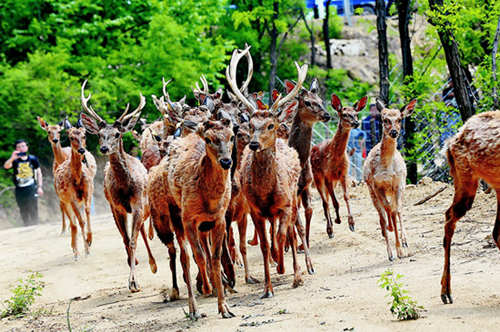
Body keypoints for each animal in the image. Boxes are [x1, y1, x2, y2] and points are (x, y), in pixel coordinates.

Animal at [54, 118, 95, 260]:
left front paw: (89, 239)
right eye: (71, 137)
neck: (77, 179)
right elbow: (80, 221)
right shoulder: (71, 197)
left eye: (84, 135)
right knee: (73, 223)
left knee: (76, 220)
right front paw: (86, 250)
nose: (82, 150)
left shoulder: (88, 191)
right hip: (64, 202)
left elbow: (87, 212)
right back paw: (76, 251)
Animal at [79, 80, 157, 294]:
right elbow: (125, 239)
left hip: (145, 205)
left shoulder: (138, 203)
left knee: (143, 231)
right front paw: (132, 267)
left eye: (117, 133)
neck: (125, 186)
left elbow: (133, 240)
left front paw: (134, 282)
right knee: (136, 233)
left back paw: (153, 263)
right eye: (99, 134)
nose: (104, 148)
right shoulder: (116, 207)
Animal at [310, 94, 370, 240]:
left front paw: (352, 224)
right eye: (344, 114)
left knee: (327, 200)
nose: (356, 123)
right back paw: (329, 229)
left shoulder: (343, 174)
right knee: (325, 202)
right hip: (317, 177)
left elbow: (346, 197)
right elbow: (335, 202)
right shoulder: (326, 175)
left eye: (356, 114)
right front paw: (337, 221)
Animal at [362, 98, 416, 262]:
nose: (394, 132)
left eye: (399, 119)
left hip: (395, 189)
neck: (387, 168)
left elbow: (397, 210)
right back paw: (390, 252)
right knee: (382, 215)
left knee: (395, 210)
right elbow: (387, 212)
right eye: (384, 119)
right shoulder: (376, 185)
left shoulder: (399, 183)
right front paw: (395, 248)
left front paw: (402, 247)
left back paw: (402, 243)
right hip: (372, 192)